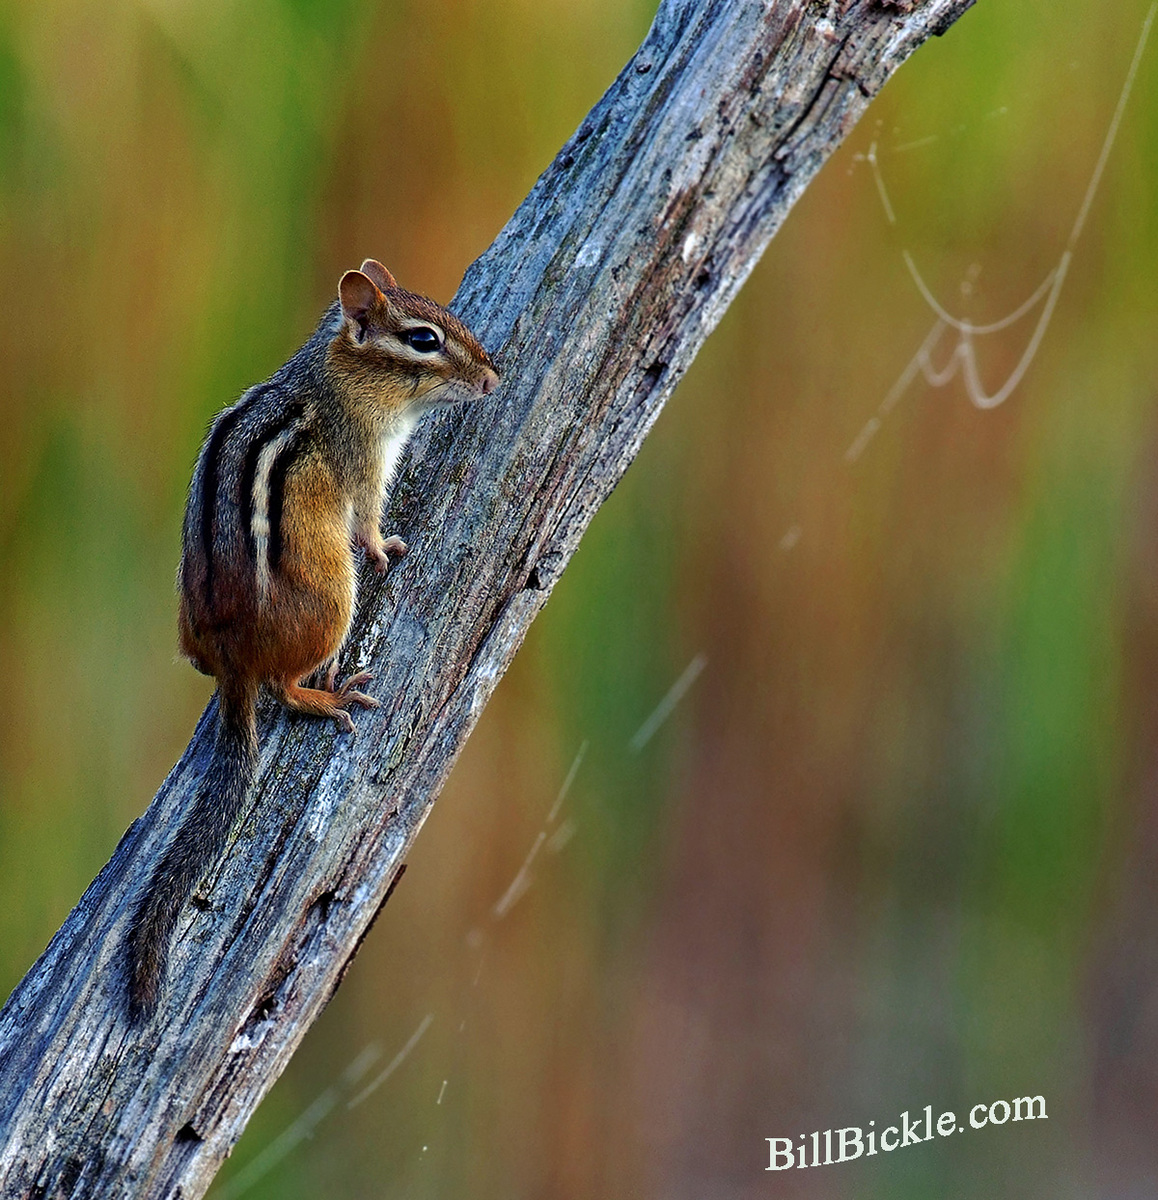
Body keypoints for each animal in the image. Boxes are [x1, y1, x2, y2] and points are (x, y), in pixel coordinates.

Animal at [126, 259, 499, 1020]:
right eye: (423, 339)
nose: (492, 378)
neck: (335, 375)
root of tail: (233, 663)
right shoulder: (365, 462)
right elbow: (369, 520)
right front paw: (387, 547)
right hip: (335, 598)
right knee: (283, 689)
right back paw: (331, 694)